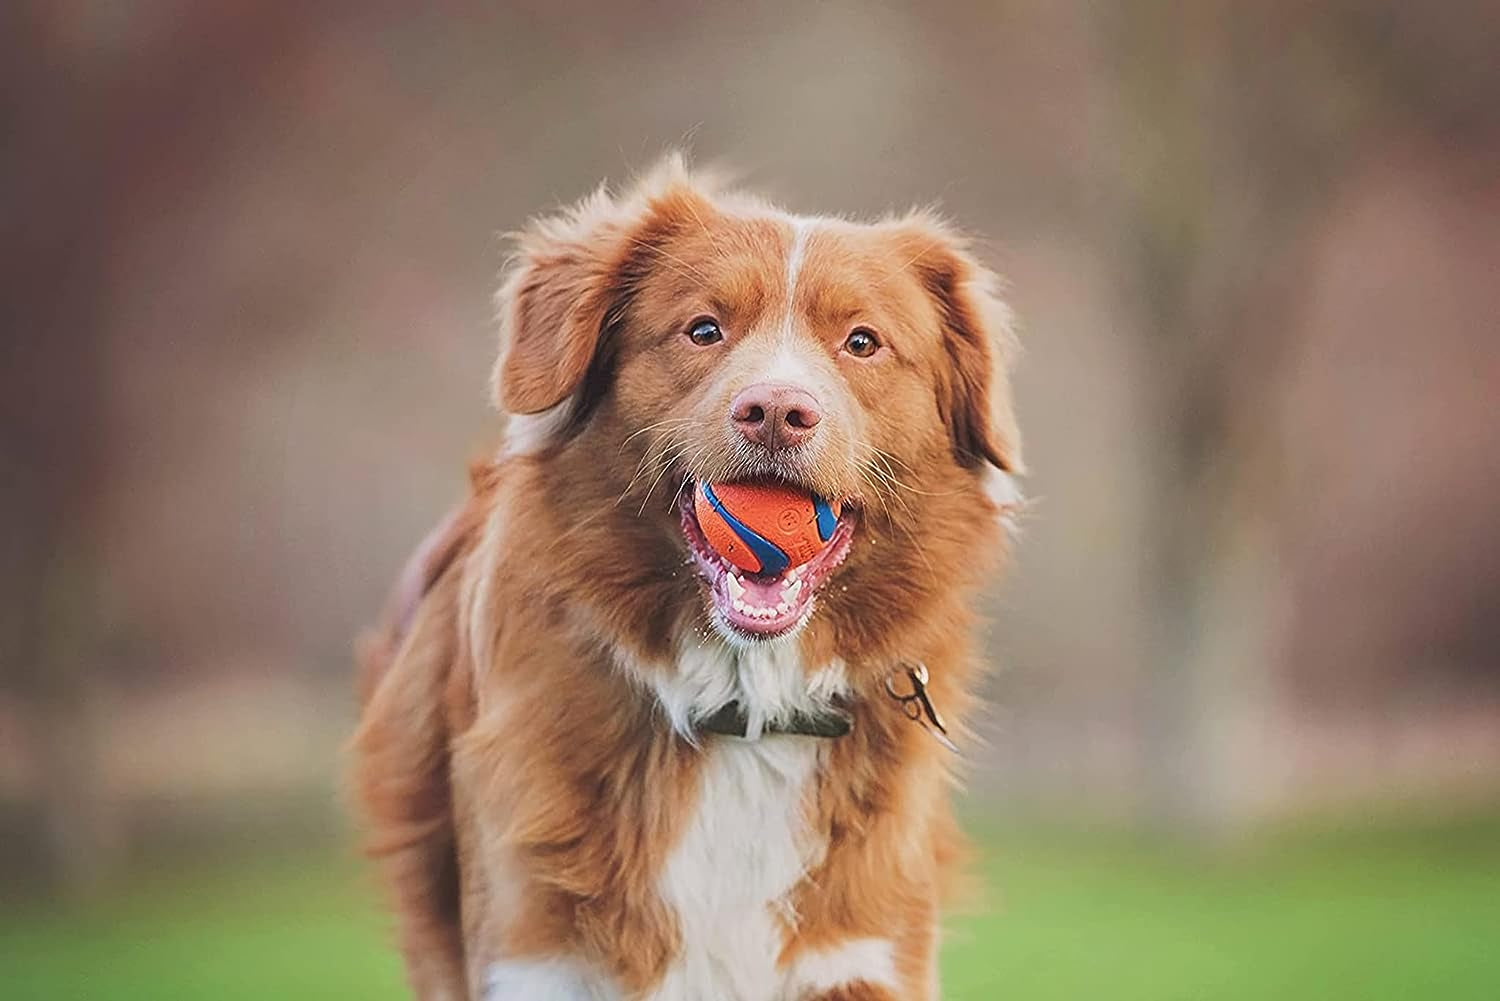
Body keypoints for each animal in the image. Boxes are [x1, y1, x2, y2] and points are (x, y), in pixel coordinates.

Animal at [354, 156, 1020, 1001]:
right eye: (704, 329)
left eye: (863, 342)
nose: (777, 410)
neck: (744, 707)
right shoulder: (533, 955)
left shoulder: (863, 954)